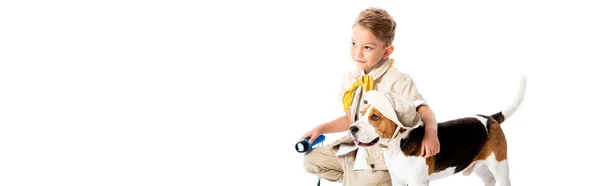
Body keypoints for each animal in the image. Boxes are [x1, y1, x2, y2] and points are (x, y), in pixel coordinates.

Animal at [350, 76, 528, 186]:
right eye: (362, 113)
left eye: (375, 117)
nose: (352, 128)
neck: (398, 146)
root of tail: (490, 118)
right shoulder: (397, 180)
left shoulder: (418, 182)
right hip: (480, 165)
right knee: (490, 180)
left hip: (500, 165)